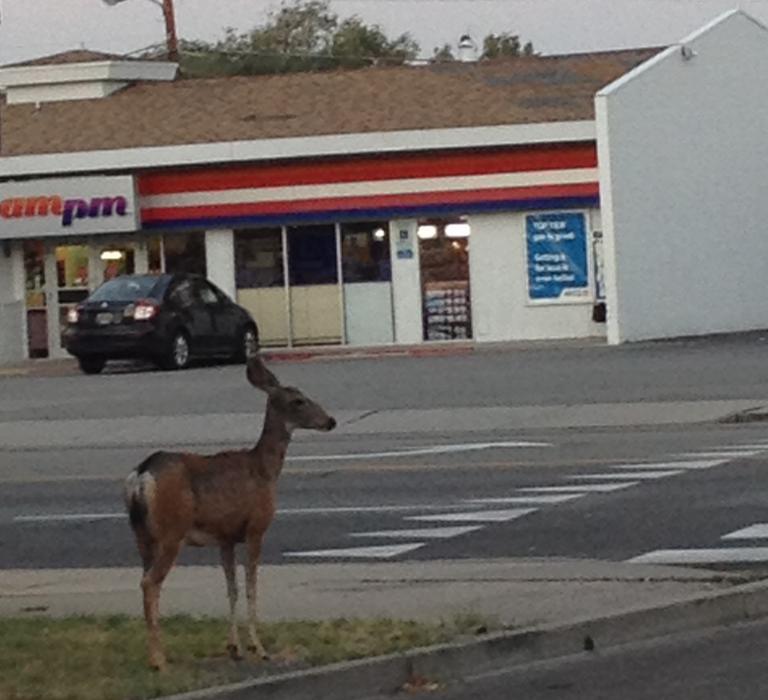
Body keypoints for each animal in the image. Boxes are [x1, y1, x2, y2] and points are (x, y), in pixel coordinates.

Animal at [123, 355, 336, 670]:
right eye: (298, 400)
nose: (330, 421)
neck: (264, 470)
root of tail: (140, 476)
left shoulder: (225, 537)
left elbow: (231, 588)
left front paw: (234, 648)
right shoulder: (256, 527)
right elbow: (251, 586)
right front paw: (259, 648)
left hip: (142, 535)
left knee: (146, 582)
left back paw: (155, 655)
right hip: (171, 532)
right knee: (150, 583)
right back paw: (159, 660)